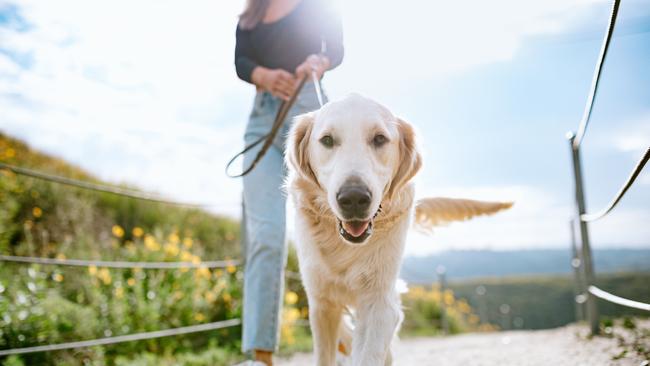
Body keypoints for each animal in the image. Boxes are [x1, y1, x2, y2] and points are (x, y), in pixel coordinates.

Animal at [286, 93, 508, 364]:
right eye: (327, 140)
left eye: (379, 139)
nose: (354, 198)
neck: (345, 246)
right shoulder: (321, 303)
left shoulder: (379, 301)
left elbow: (370, 351)